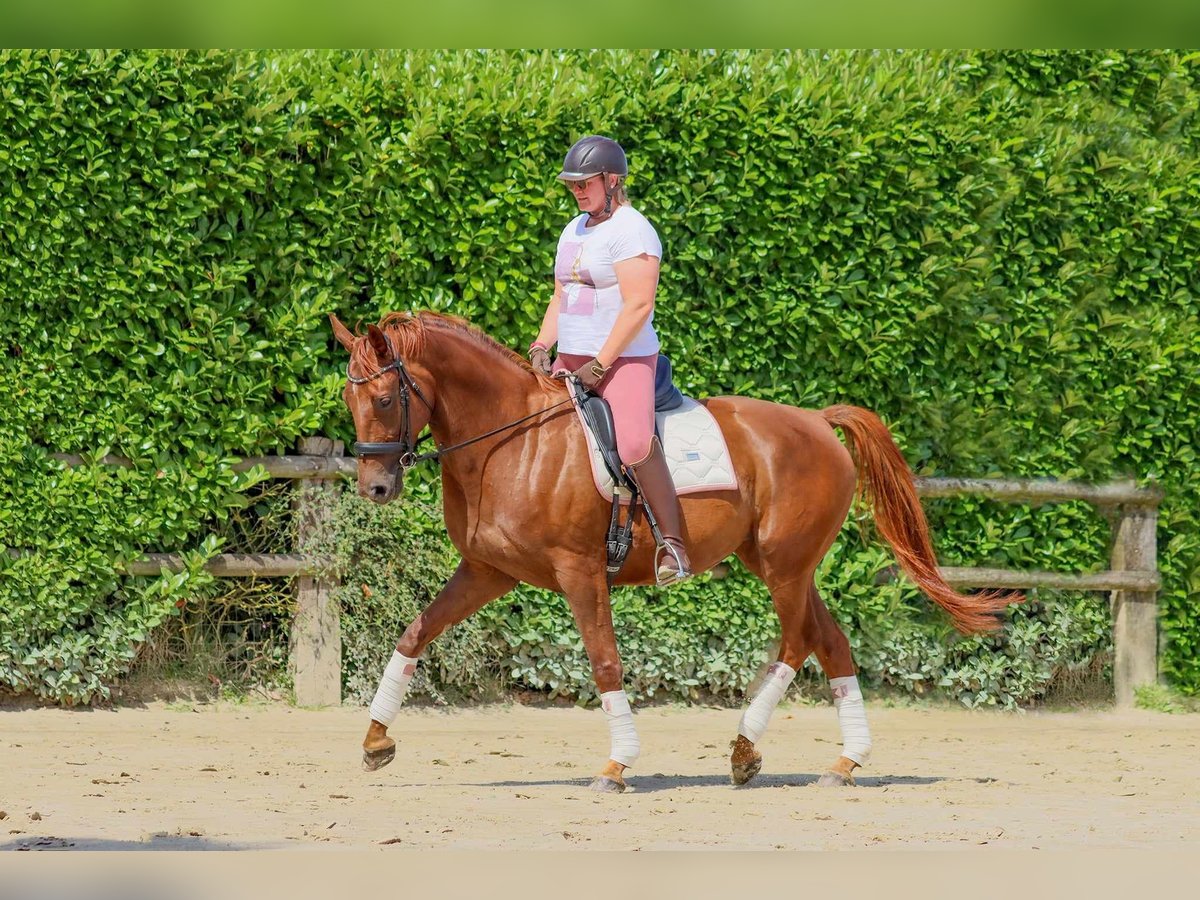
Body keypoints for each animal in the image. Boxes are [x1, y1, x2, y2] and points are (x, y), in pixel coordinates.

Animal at [331, 314, 1022, 792]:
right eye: (348, 399)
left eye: (386, 399)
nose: (375, 488)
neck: (512, 442)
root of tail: (817, 421)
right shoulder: (489, 571)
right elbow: (415, 633)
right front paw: (374, 741)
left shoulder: (580, 571)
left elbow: (604, 662)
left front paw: (616, 766)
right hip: (781, 564)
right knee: (831, 641)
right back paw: (843, 761)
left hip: (784, 565)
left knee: (798, 641)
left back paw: (747, 748)